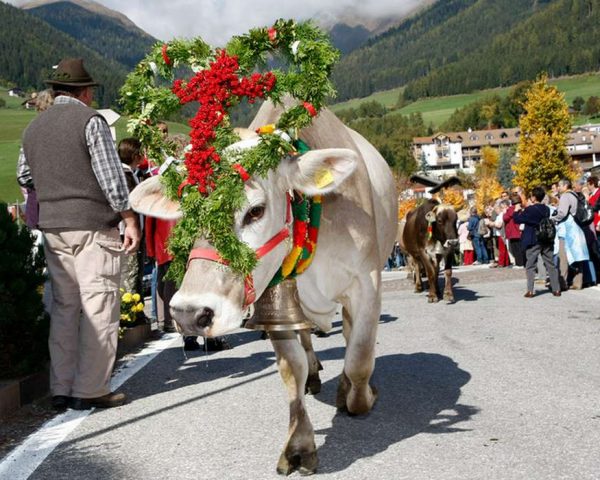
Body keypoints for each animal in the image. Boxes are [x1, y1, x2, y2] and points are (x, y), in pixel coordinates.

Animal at [122, 20, 398, 474]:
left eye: (255, 210)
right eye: (187, 211)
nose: (189, 314)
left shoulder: (367, 282)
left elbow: (359, 357)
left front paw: (356, 395)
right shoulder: (274, 297)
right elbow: (291, 369)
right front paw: (299, 445)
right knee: (307, 347)